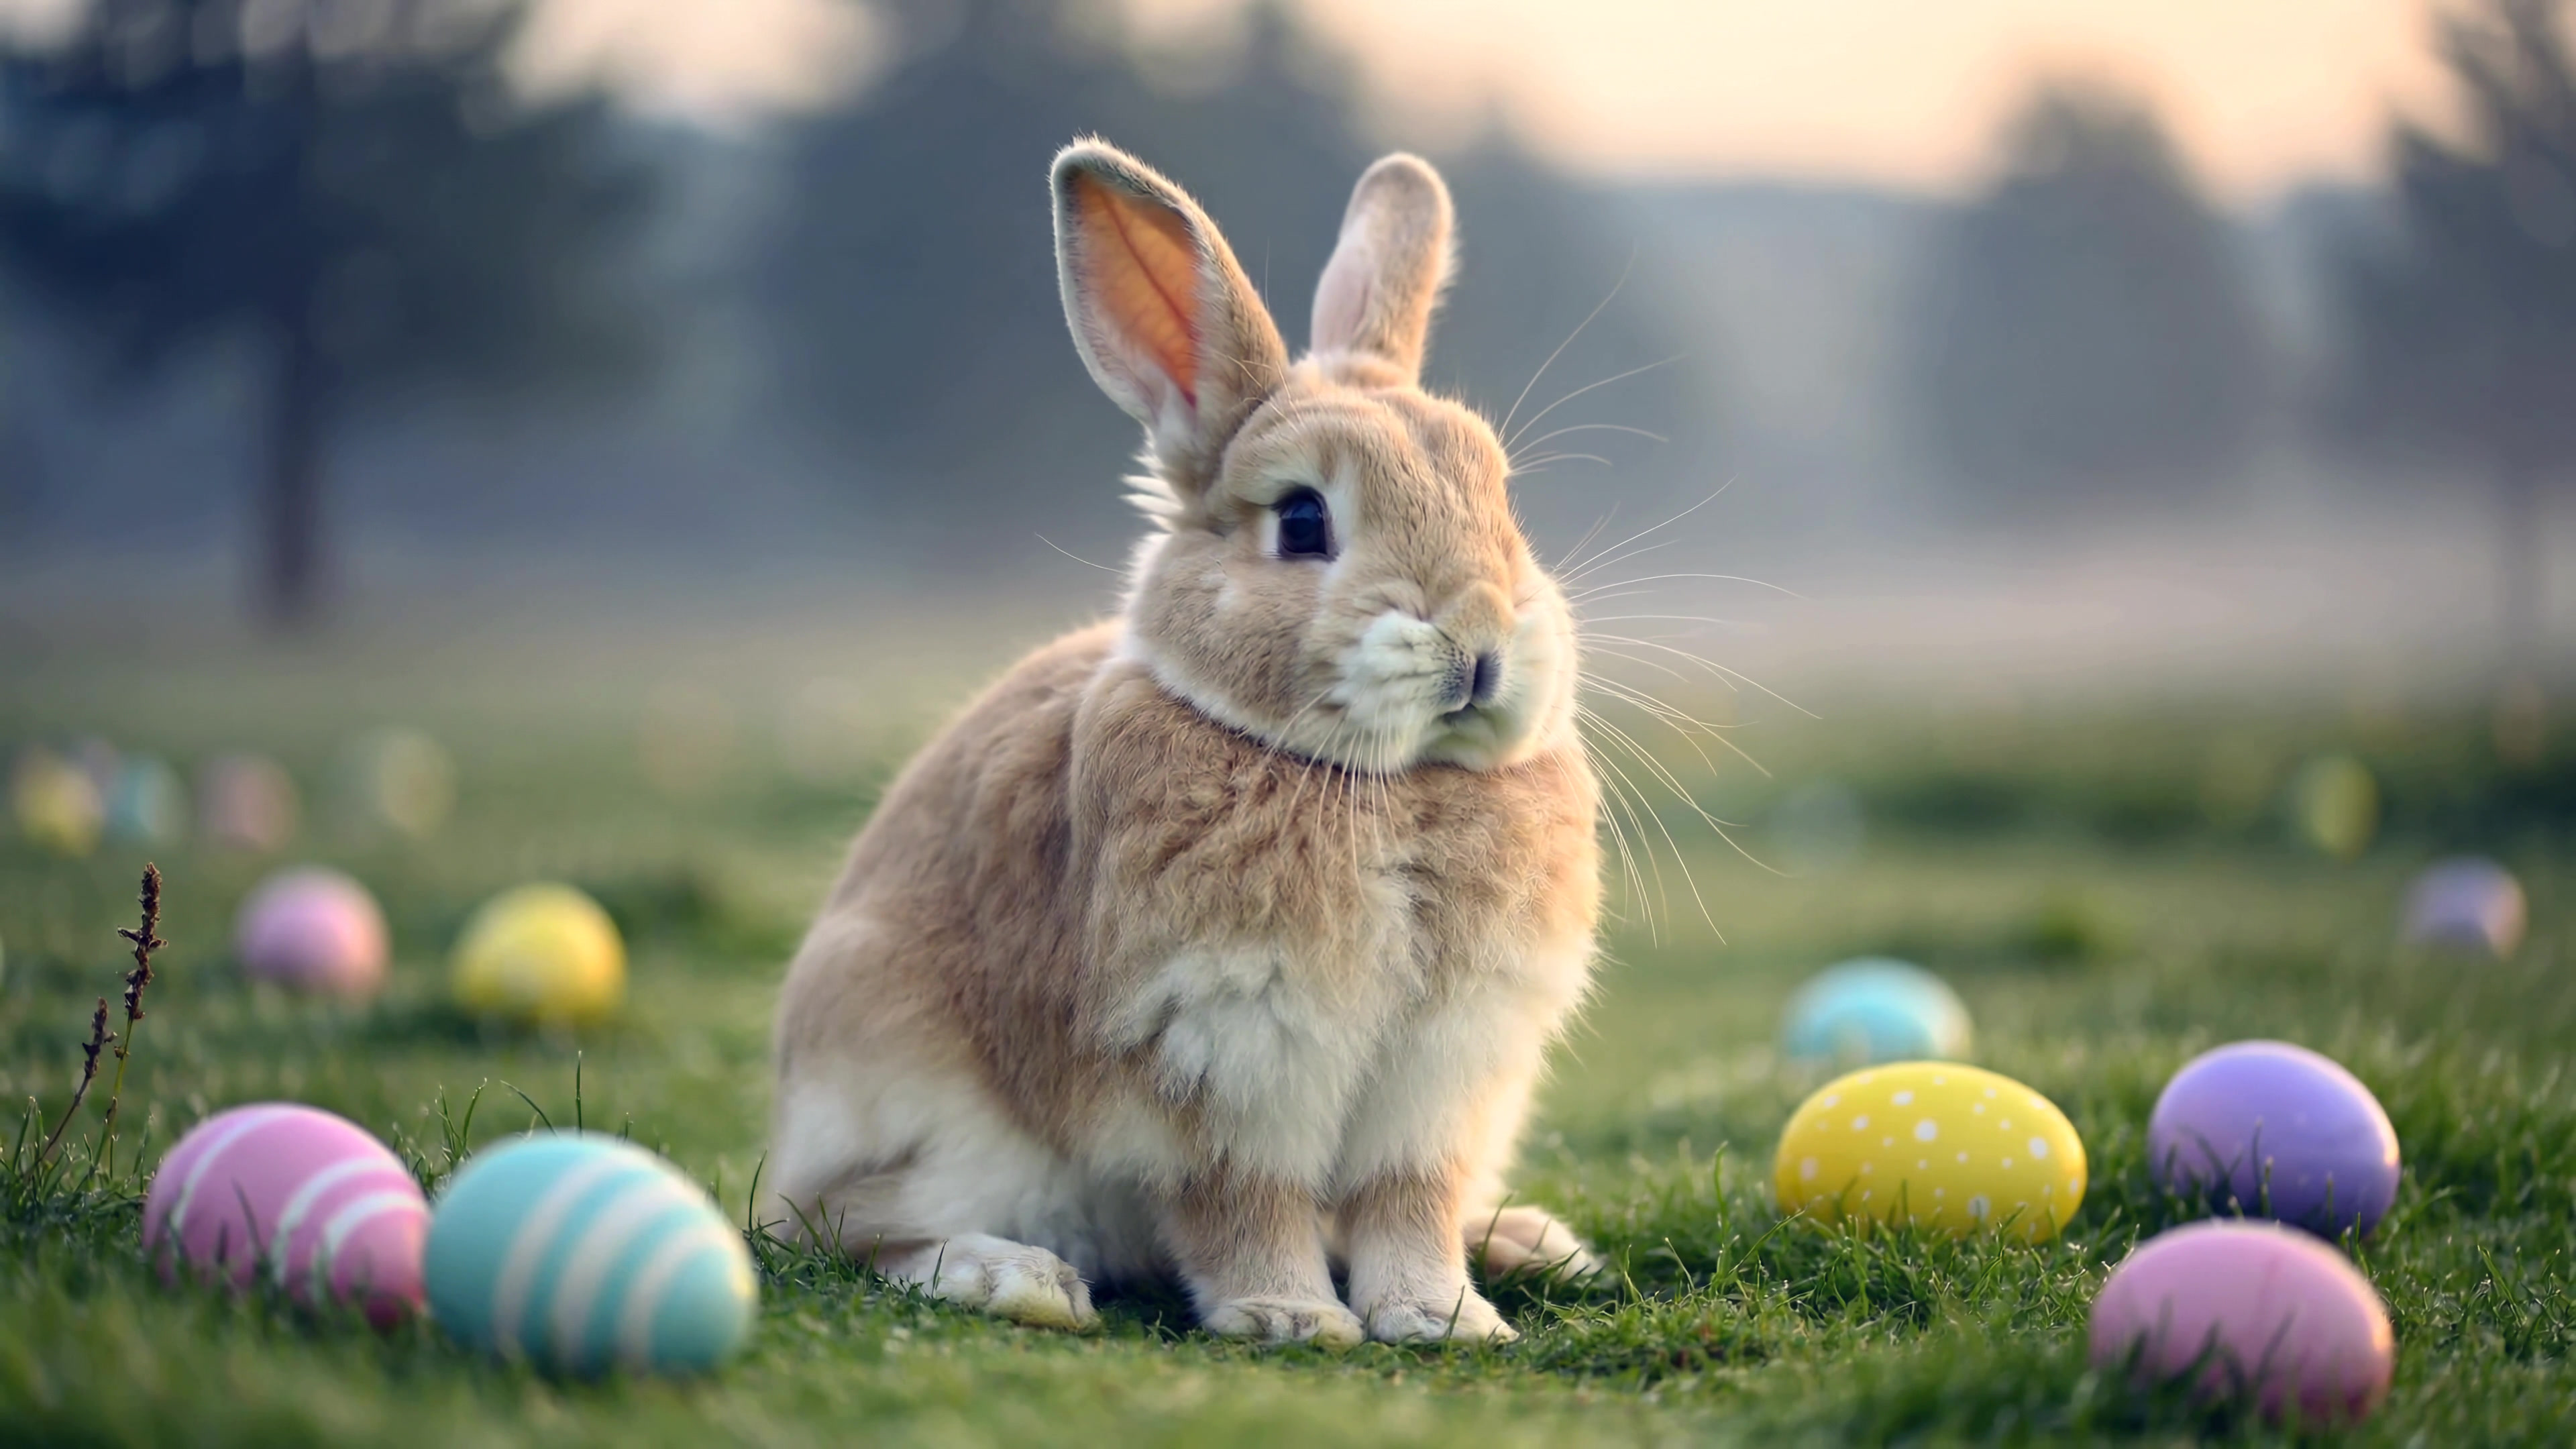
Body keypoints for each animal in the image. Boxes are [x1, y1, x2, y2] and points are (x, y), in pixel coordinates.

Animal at [766, 138, 1603, 1346]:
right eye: (1302, 521)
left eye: (1500, 499)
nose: (1482, 641)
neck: (1385, 784)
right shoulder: (1220, 1063)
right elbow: (1244, 1206)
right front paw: (1289, 1317)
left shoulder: (1439, 1084)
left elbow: (1410, 1210)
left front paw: (1447, 1320)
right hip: (913, 1104)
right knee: (852, 1230)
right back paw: (1016, 1281)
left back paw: (1534, 1244)